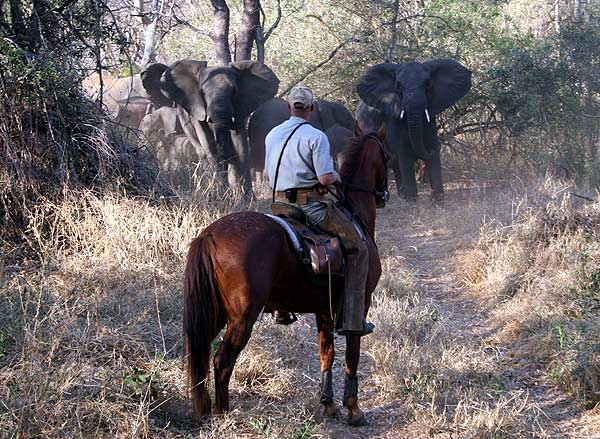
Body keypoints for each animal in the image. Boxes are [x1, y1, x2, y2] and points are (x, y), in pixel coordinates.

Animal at [142, 60, 280, 192]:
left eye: (234, 91)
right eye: (202, 92)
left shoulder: (240, 107)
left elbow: (241, 149)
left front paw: (246, 197)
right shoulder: (197, 109)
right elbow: (209, 146)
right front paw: (223, 194)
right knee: (202, 152)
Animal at [183, 112, 390, 426]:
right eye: (388, 157)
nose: (383, 195)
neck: (355, 213)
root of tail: (210, 234)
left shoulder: (324, 309)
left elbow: (326, 353)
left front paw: (328, 405)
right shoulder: (359, 303)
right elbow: (352, 355)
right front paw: (353, 409)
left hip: (215, 312)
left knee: (202, 352)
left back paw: (206, 409)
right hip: (242, 317)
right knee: (222, 360)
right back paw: (223, 413)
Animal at [354, 59, 472, 202]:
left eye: (428, 83)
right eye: (398, 86)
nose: (440, 146)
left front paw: (437, 200)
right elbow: (405, 155)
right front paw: (412, 201)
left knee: (395, 164)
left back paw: (401, 195)